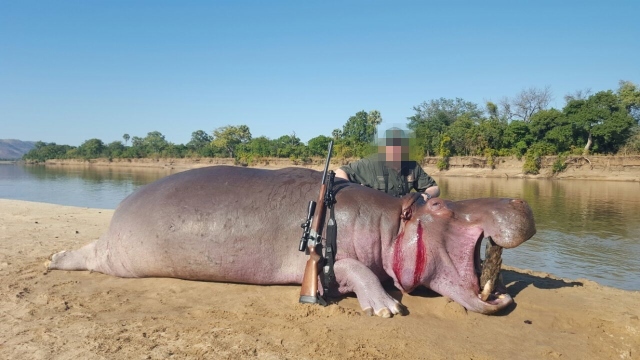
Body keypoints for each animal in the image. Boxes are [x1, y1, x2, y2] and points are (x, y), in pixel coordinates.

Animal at [47, 166, 536, 318]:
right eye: (439, 206)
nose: (518, 198)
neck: (390, 224)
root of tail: (118, 209)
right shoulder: (334, 264)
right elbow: (358, 269)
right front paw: (386, 308)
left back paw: (51, 259)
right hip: (121, 257)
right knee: (90, 257)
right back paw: (53, 260)